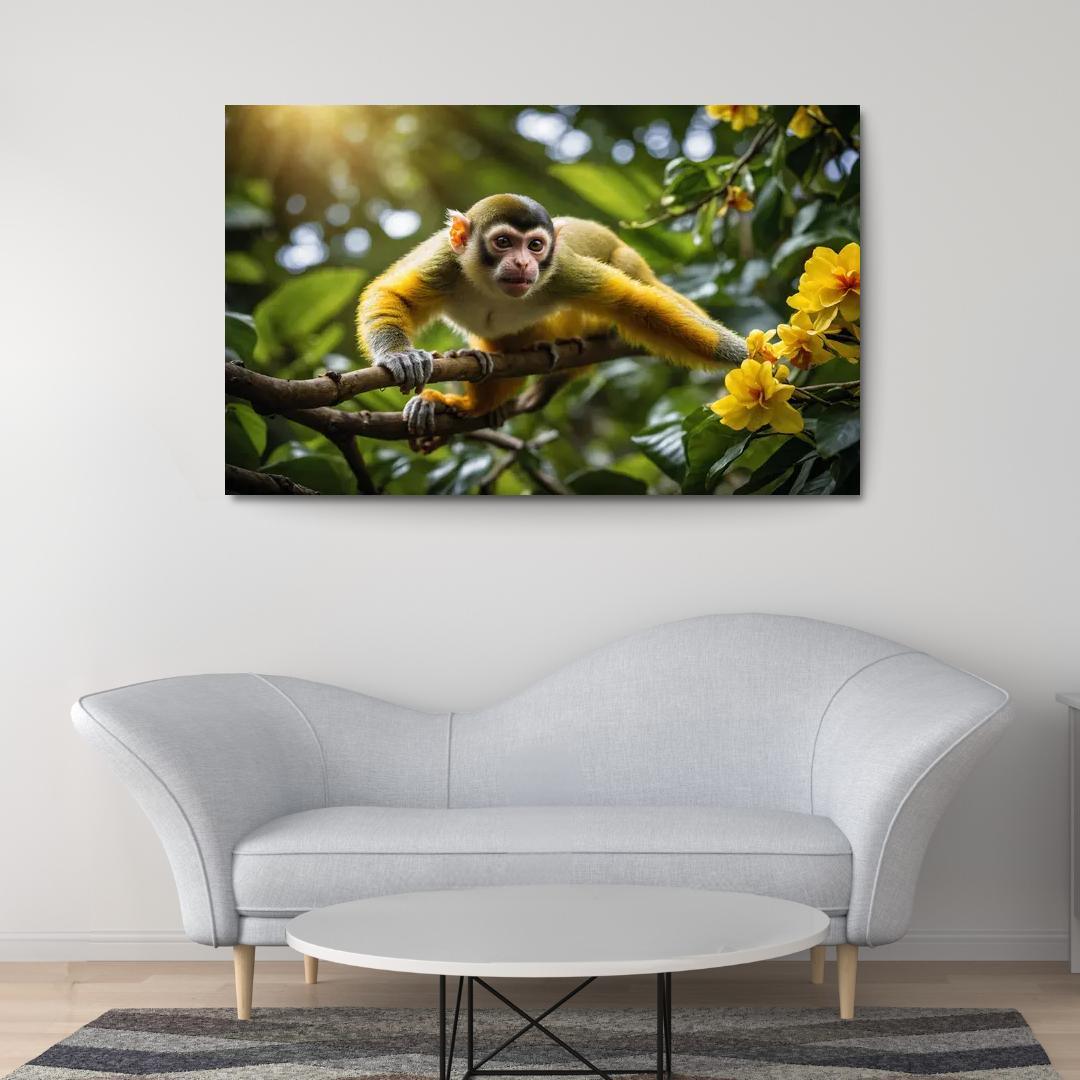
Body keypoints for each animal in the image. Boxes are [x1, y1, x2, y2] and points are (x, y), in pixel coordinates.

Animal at [356, 193, 747, 439]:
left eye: (535, 246)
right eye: (503, 242)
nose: (522, 264)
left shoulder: (559, 269)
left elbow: (635, 304)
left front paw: (746, 357)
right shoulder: (446, 258)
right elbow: (392, 294)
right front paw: (400, 356)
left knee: (632, 273)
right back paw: (468, 398)